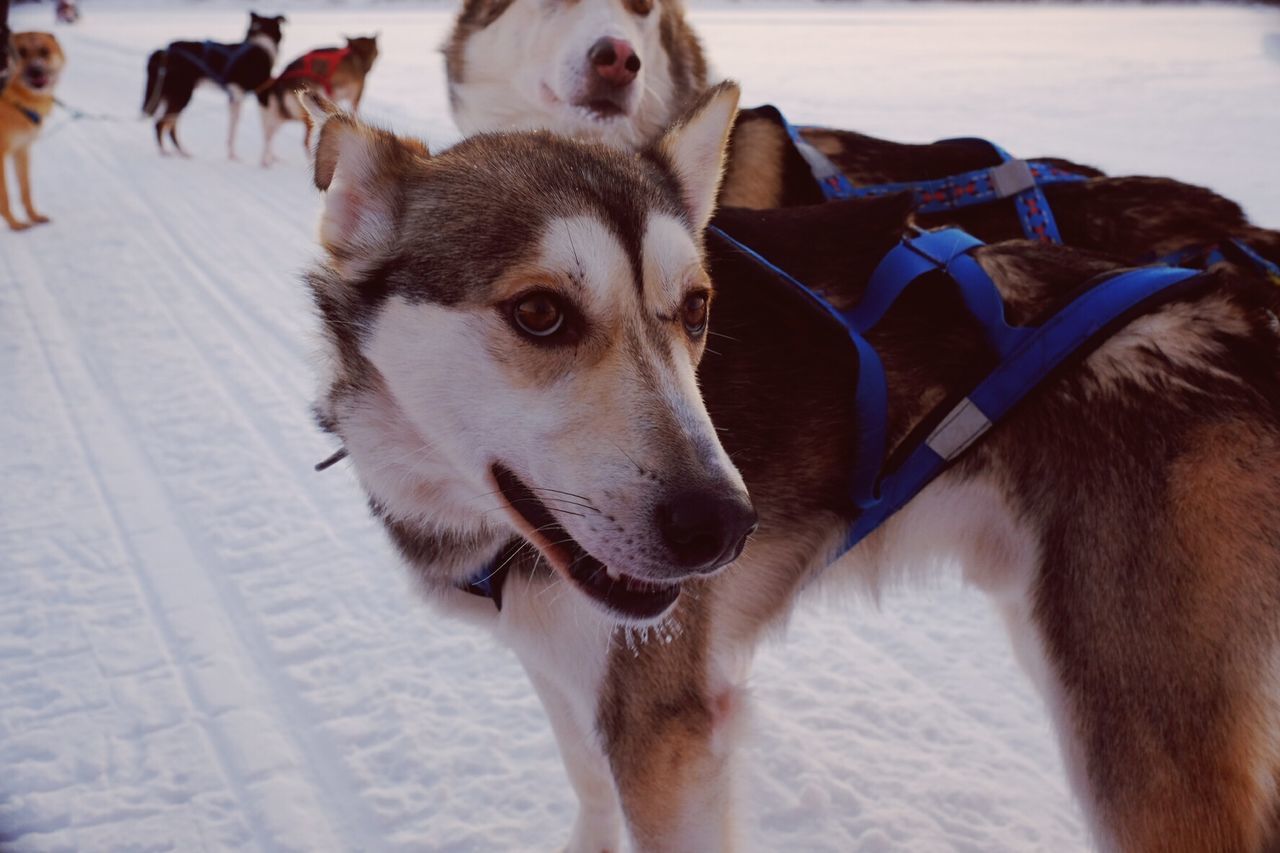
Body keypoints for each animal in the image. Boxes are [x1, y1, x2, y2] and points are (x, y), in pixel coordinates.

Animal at [144, 11, 286, 157]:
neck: (261, 43)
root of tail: (164, 52)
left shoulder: (235, 98)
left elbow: (233, 128)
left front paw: (232, 155)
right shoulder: (261, 95)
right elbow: (267, 129)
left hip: (175, 96)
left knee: (169, 125)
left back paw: (182, 153)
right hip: (182, 96)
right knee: (161, 123)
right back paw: (166, 153)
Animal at [258, 34, 378, 167]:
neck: (357, 54)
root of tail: (280, 82)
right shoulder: (355, 97)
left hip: (280, 117)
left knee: (268, 137)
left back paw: (267, 160)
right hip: (305, 117)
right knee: (304, 142)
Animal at [302, 87, 1280, 850]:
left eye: (696, 307)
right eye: (539, 312)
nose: (724, 525)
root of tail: (1245, 300)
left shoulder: (663, 733)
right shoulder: (568, 675)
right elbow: (588, 789)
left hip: (1132, 729)